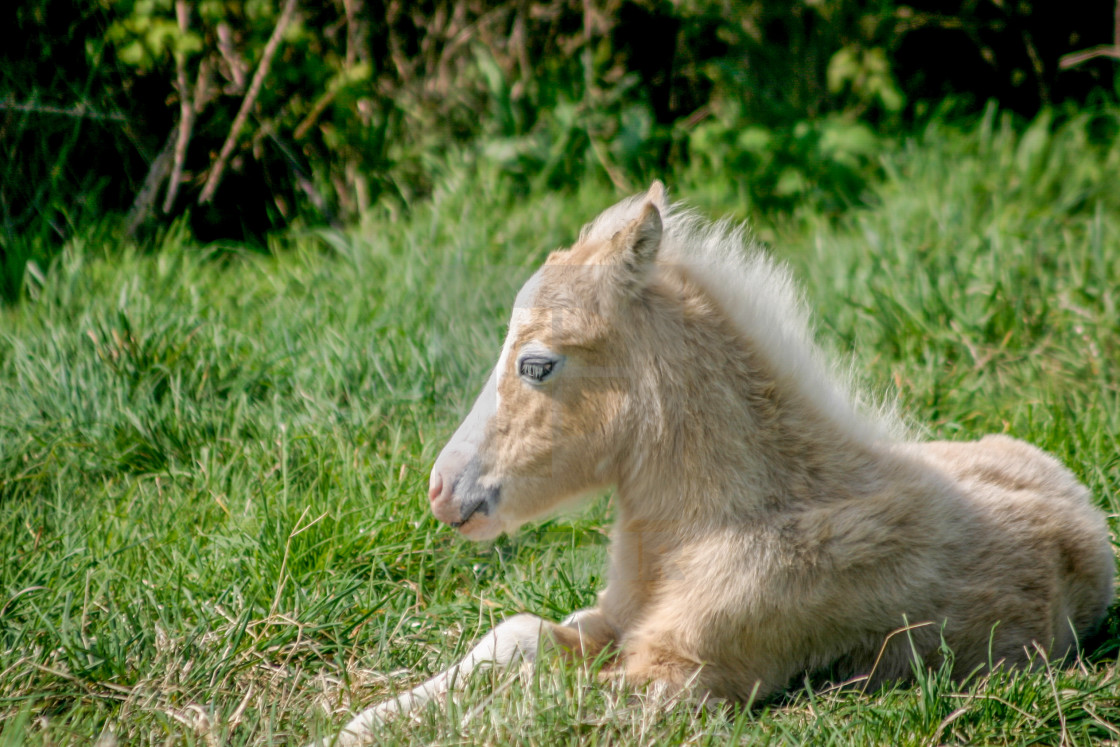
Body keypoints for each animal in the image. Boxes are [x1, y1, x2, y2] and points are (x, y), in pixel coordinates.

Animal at [315, 183, 1111, 743]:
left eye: (537, 363)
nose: (441, 490)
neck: (719, 523)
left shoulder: (678, 681)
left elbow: (533, 711)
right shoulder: (615, 620)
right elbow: (516, 635)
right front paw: (363, 723)